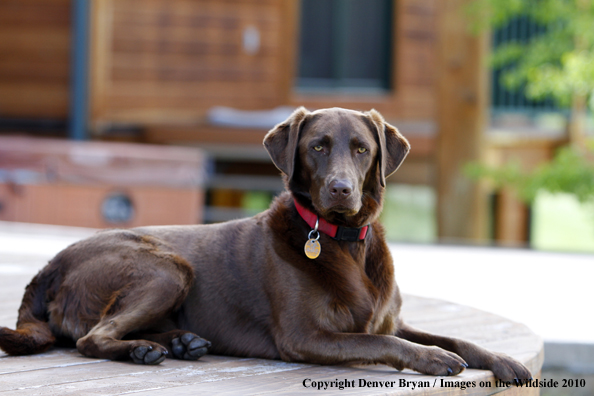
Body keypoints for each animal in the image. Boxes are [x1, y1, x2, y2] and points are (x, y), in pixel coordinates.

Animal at [0, 107, 528, 380]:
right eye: (317, 146)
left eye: (362, 149)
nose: (341, 189)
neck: (344, 243)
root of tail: (47, 268)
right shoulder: (306, 336)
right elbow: (380, 340)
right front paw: (434, 360)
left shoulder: (394, 318)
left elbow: (447, 336)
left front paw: (503, 361)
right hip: (167, 267)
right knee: (92, 337)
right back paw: (145, 351)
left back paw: (180, 342)